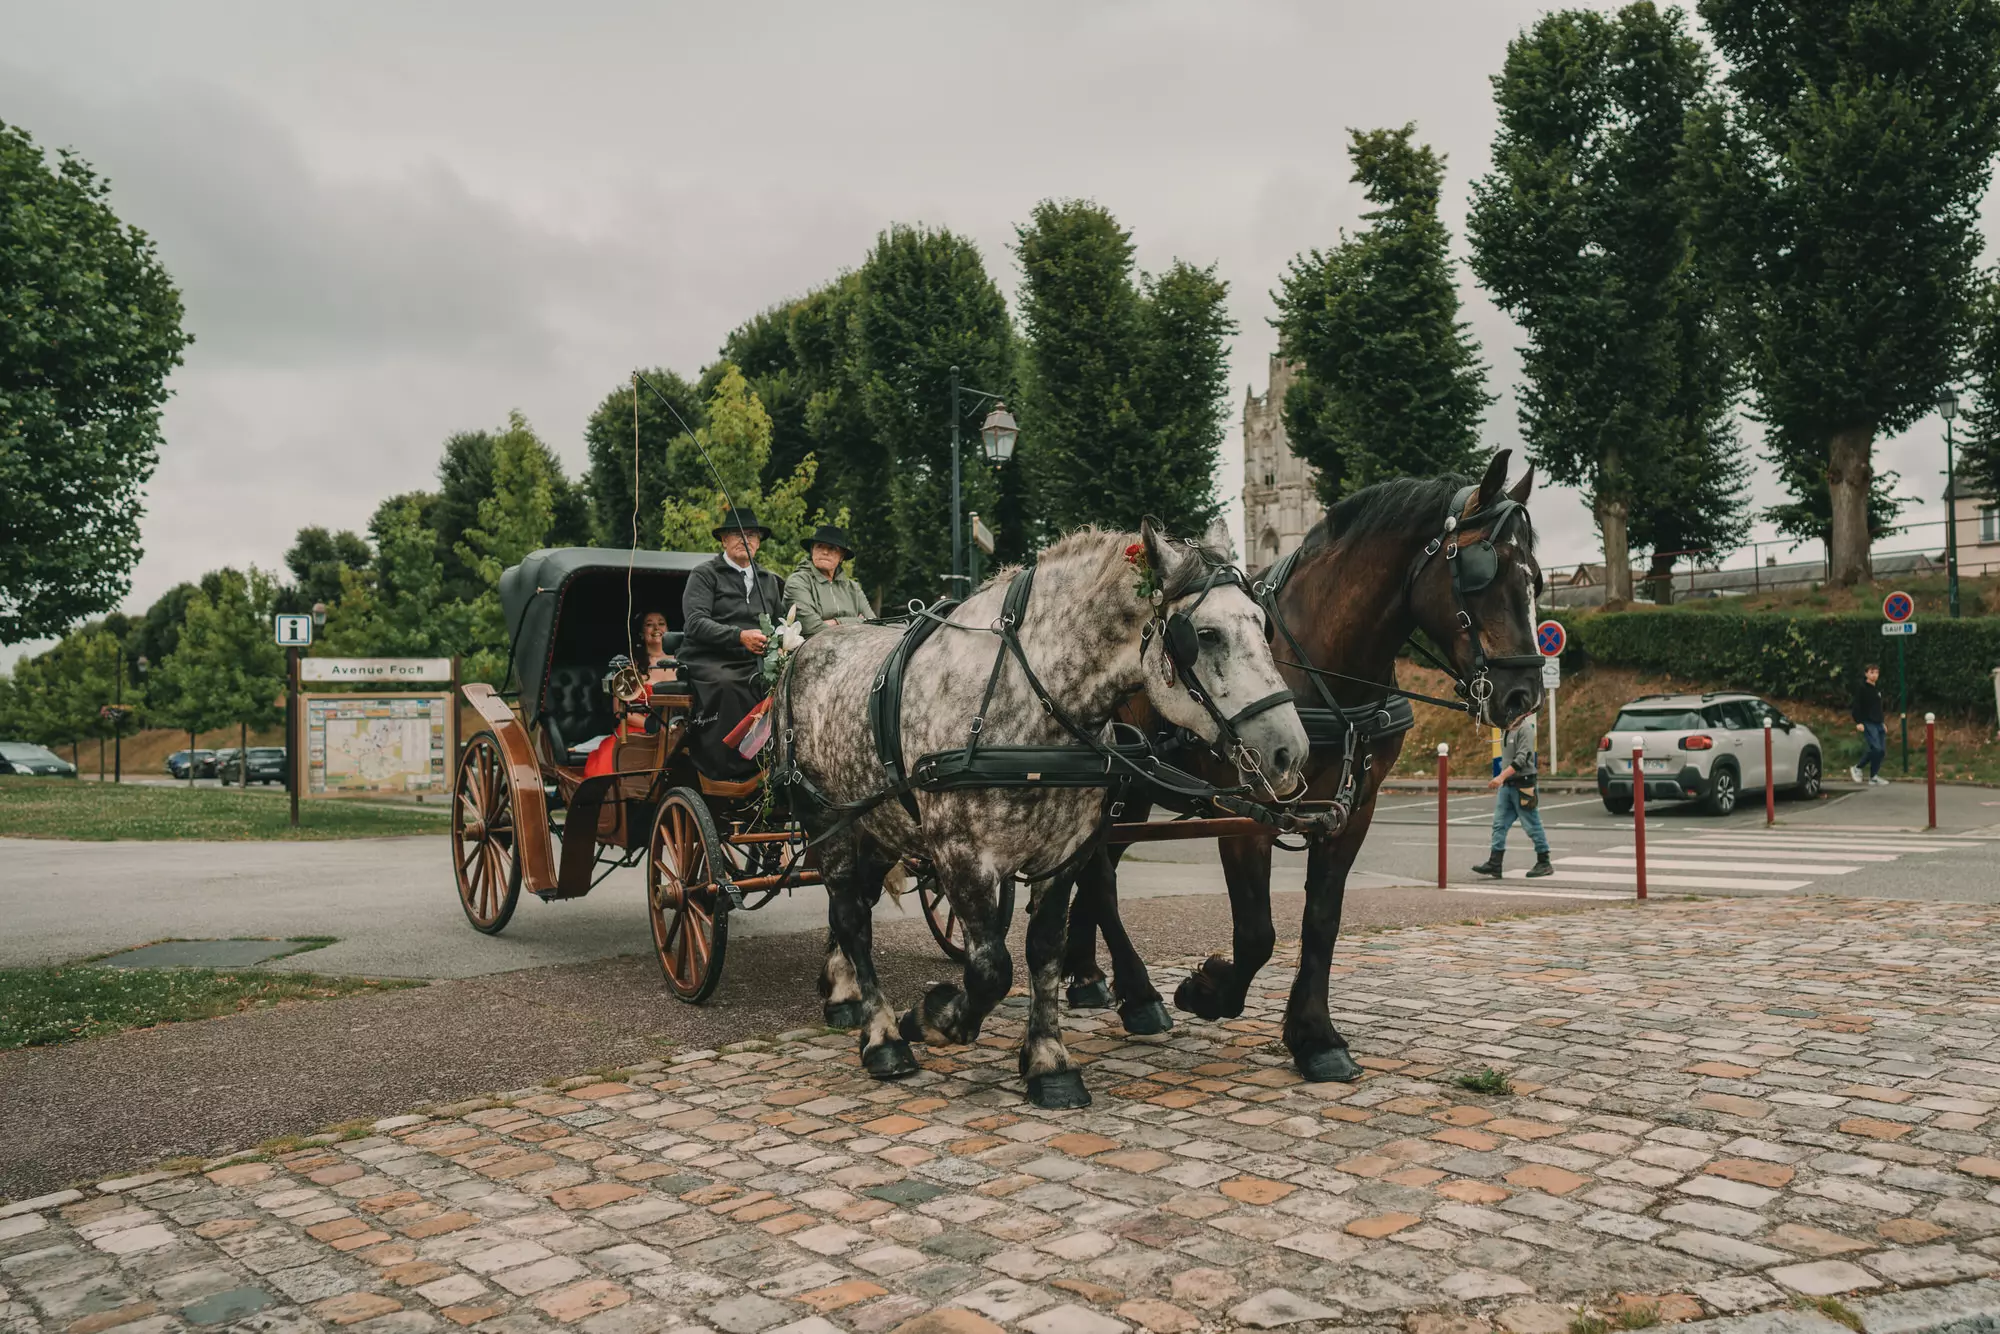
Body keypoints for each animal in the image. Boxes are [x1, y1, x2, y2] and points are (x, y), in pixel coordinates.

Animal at [1064, 454, 1544, 1080]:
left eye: (1535, 577)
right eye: (1482, 570)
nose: (1524, 694)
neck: (1319, 667)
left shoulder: (1353, 811)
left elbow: (1322, 920)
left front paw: (1315, 1038)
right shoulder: (1250, 814)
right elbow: (1257, 934)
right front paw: (1208, 991)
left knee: (1094, 869)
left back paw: (1087, 976)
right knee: (1098, 873)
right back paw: (1138, 994)